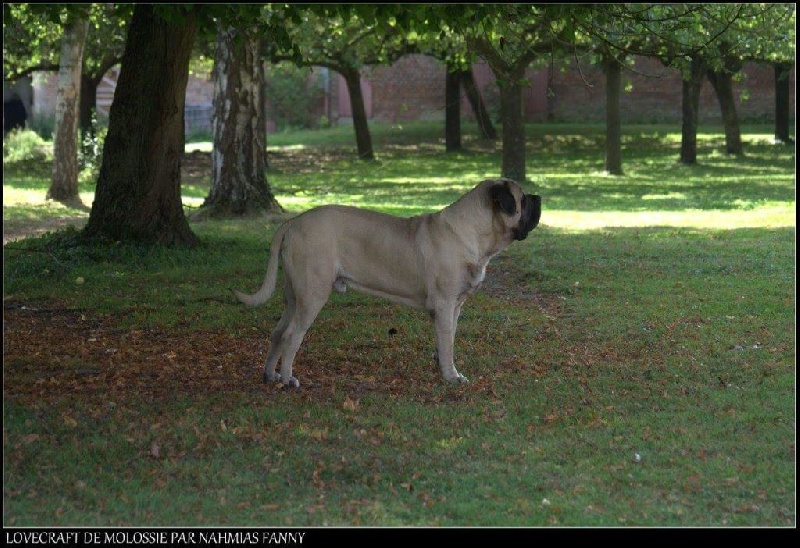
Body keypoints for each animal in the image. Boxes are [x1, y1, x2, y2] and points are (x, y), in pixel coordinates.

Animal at [234, 178, 541, 387]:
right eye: (522, 200)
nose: (538, 196)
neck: (473, 232)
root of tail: (294, 222)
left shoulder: (454, 306)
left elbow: (447, 338)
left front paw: (441, 365)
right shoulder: (444, 304)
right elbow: (448, 341)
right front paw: (452, 376)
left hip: (293, 296)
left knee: (277, 332)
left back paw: (270, 375)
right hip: (312, 294)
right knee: (291, 336)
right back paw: (288, 379)